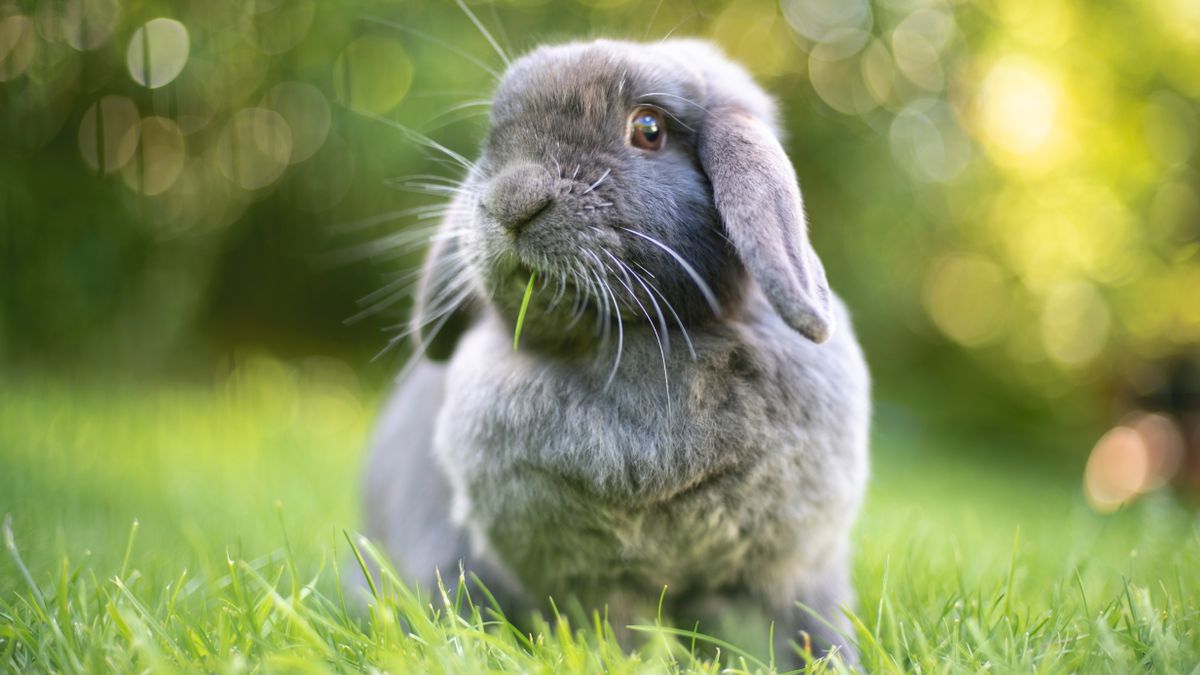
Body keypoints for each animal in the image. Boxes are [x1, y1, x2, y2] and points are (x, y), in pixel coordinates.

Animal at [360, 38, 868, 667]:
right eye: (494, 137)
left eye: (648, 129)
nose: (511, 200)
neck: (638, 341)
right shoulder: (591, 580)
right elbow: (614, 631)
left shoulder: (796, 565)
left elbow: (808, 626)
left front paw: (833, 664)